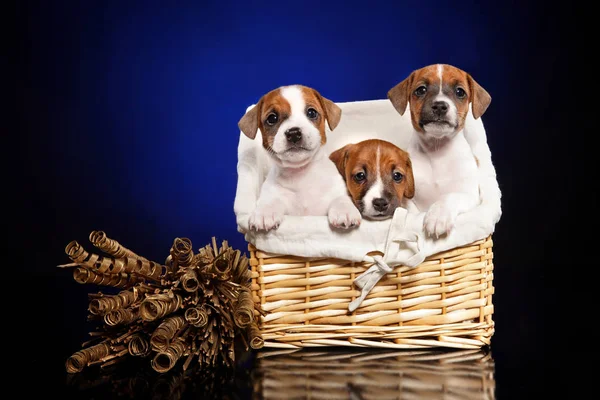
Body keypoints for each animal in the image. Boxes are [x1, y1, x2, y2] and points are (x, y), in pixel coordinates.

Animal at [238, 84, 360, 231]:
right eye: (272, 118)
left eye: (311, 113)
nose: (294, 133)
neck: (301, 174)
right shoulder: (273, 194)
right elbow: (270, 201)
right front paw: (264, 212)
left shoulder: (336, 190)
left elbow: (341, 198)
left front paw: (344, 210)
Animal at [390, 63, 492, 238]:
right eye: (421, 90)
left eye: (460, 92)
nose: (439, 106)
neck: (436, 150)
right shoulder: (407, 195)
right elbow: (411, 208)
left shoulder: (469, 195)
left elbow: (450, 197)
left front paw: (438, 216)